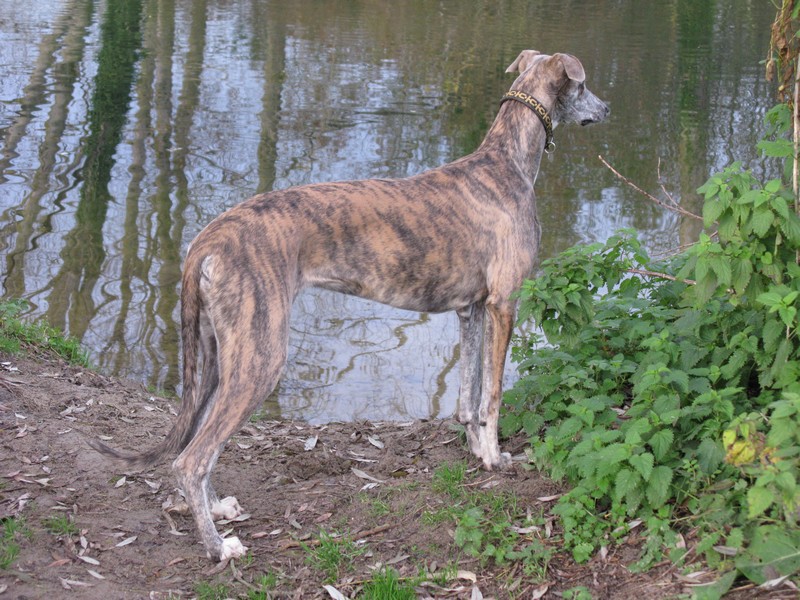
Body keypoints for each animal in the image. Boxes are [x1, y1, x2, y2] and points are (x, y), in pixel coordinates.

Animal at [90, 50, 609, 561]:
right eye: (583, 85)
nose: (605, 110)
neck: (506, 162)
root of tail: (208, 236)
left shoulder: (472, 310)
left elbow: (468, 395)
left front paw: (478, 452)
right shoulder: (504, 303)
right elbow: (493, 395)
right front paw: (498, 458)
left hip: (218, 356)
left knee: (200, 445)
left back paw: (218, 509)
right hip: (261, 358)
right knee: (190, 458)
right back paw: (219, 548)